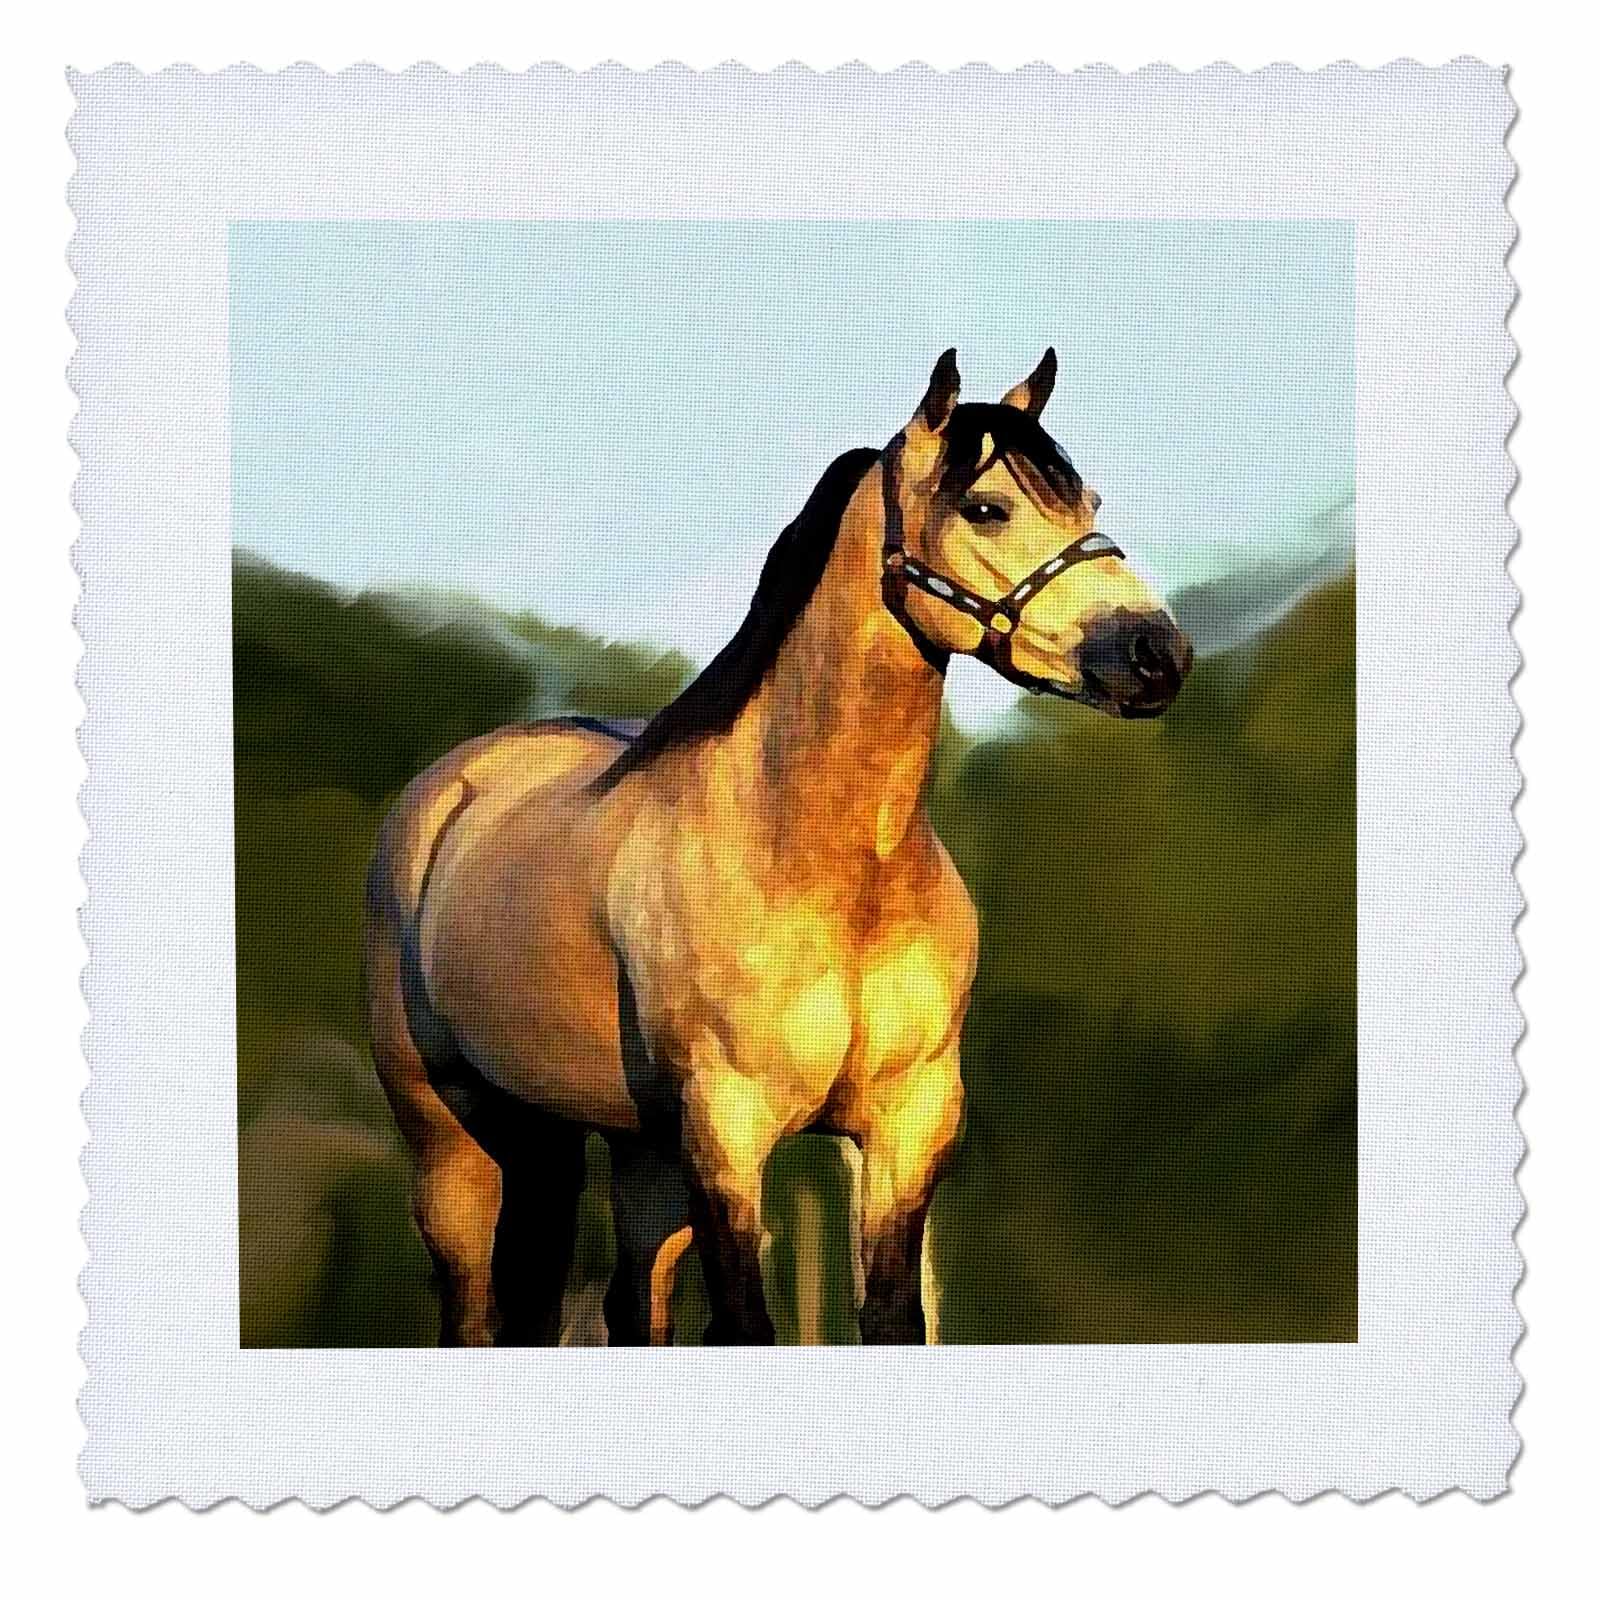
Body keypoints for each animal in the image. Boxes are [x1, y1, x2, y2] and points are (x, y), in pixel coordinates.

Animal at [363, 348, 1192, 1346]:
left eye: (1089, 501)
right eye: (988, 507)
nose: (1156, 656)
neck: (822, 863)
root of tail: (451, 791)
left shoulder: (906, 1128)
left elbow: (891, 1317)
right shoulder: (729, 1130)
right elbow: (744, 1324)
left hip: (624, 1147)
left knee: (628, 1305)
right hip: (454, 1136)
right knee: (472, 1306)